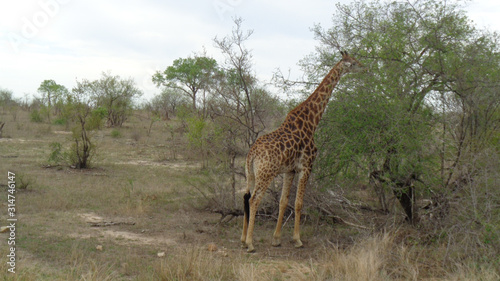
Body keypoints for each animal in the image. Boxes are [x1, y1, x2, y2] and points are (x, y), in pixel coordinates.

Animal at [241, 50, 364, 252]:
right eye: (353, 63)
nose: (364, 67)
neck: (312, 121)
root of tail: (251, 154)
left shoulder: (290, 170)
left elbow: (284, 202)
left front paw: (276, 239)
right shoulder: (307, 166)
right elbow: (298, 203)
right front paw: (297, 239)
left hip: (250, 173)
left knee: (246, 197)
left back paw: (243, 239)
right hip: (266, 174)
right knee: (254, 200)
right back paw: (250, 243)